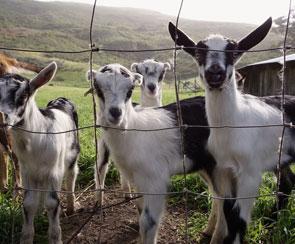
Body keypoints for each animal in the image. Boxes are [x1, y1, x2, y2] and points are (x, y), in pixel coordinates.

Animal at [0, 62, 80, 243]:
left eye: (23, 95)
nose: (1, 118)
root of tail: (61, 100)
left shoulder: (54, 171)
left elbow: (52, 203)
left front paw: (56, 237)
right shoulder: (27, 171)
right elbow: (29, 203)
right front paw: (27, 237)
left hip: (71, 155)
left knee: (72, 175)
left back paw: (71, 207)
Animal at [93, 59, 170, 202]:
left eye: (162, 72)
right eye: (140, 71)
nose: (152, 87)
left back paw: (126, 193)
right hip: (102, 143)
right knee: (101, 167)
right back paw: (99, 200)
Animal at [170, 17, 295, 244]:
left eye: (234, 51)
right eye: (198, 52)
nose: (215, 73)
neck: (234, 124)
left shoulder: (250, 174)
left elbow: (239, 221)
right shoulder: (223, 171)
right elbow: (228, 213)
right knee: (287, 182)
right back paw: (271, 222)